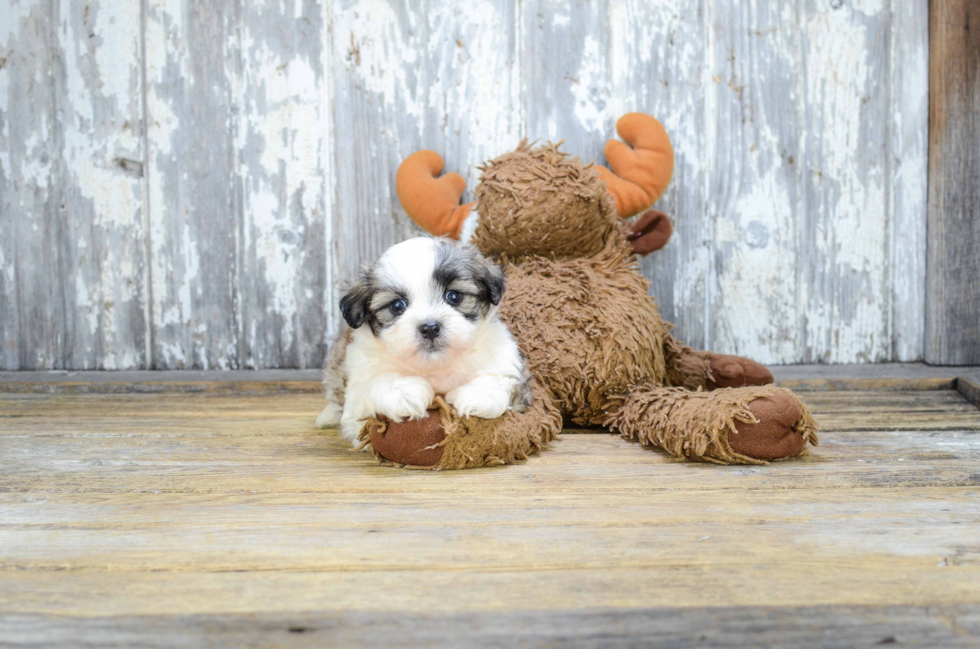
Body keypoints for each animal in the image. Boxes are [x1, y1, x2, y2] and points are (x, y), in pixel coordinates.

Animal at [316, 235, 528, 442]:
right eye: (397, 305)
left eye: (453, 296)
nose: (430, 328)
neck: (433, 366)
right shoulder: (357, 386)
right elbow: (375, 383)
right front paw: (403, 392)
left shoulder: (504, 359)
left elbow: (499, 378)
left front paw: (478, 395)